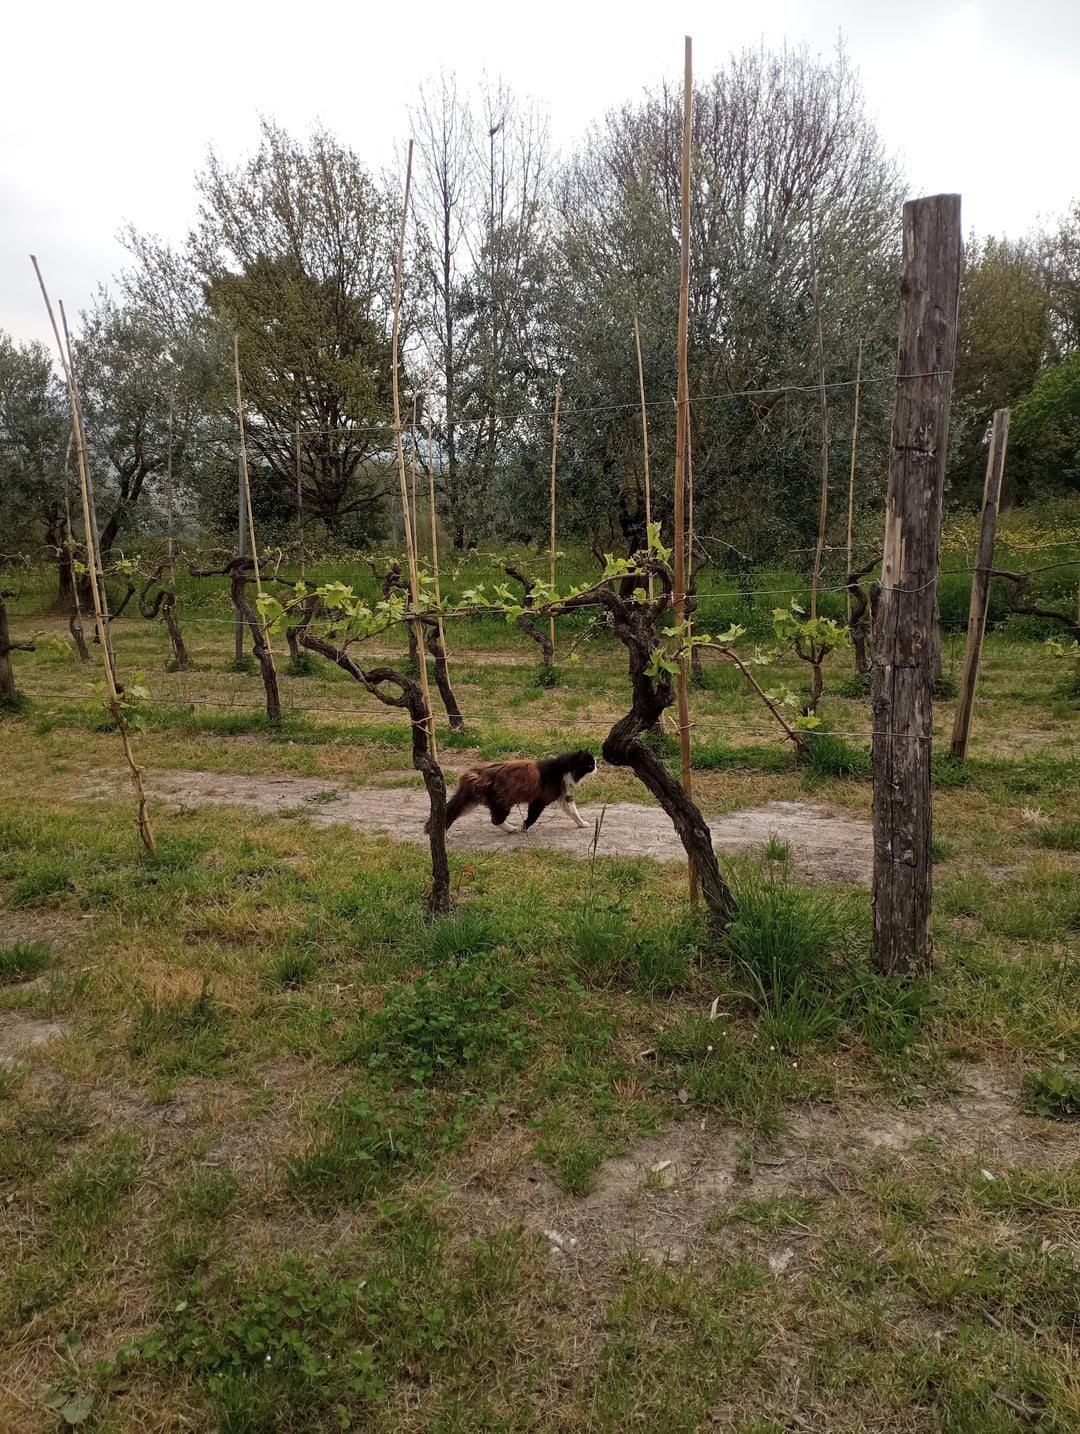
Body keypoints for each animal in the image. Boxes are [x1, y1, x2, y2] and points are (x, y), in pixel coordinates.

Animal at [425, 750, 597, 834]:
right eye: (591, 764)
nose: (597, 768)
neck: (561, 768)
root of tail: (474, 774)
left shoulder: (564, 797)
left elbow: (574, 812)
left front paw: (582, 824)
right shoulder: (539, 801)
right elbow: (532, 817)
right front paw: (524, 828)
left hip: (472, 802)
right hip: (502, 803)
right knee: (495, 820)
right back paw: (511, 829)